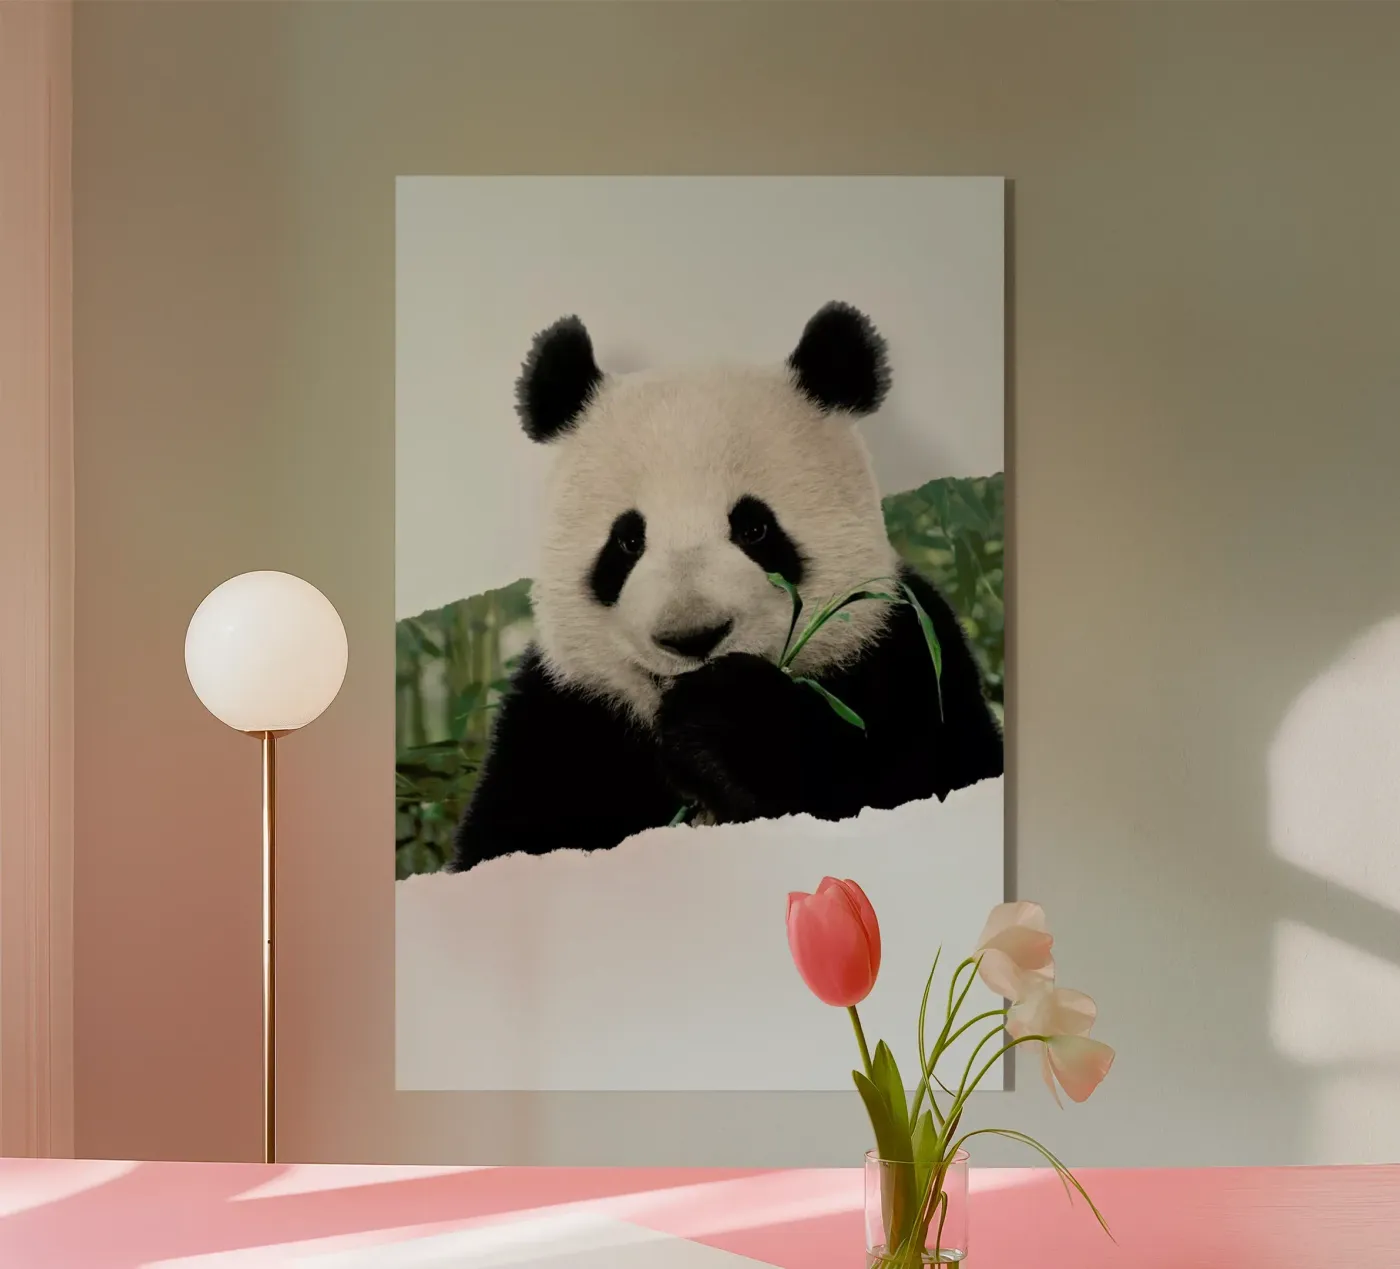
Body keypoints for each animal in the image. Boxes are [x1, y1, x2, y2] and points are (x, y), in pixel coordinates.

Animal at [448, 302, 1003, 874]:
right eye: (627, 541)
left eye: (754, 528)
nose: (692, 637)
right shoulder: (562, 718)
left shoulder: (904, 655)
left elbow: (919, 776)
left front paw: (730, 719)